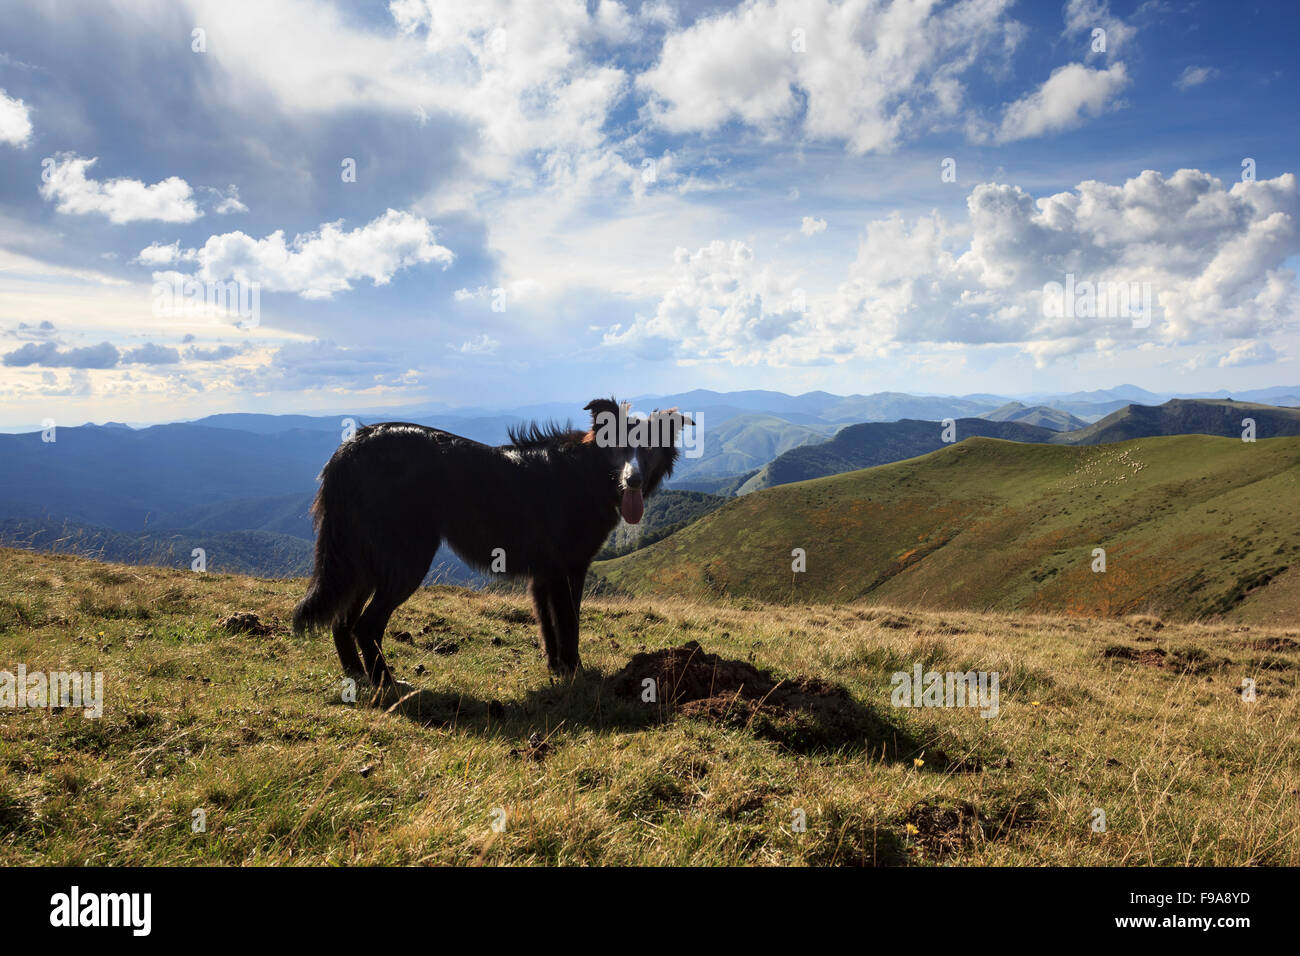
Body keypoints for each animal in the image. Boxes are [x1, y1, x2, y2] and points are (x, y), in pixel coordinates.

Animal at [293, 398, 691, 686]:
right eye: (618, 446)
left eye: (649, 449)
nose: (633, 480)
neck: (588, 470)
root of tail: (351, 447)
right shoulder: (566, 570)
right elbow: (570, 625)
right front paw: (575, 672)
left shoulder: (544, 576)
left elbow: (550, 627)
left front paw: (557, 669)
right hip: (405, 560)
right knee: (365, 625)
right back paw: (387, 684)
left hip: (362, 562)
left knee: (341, 621)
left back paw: (356, 677)